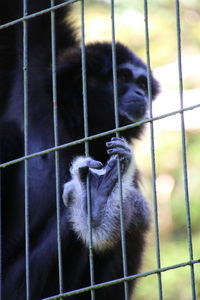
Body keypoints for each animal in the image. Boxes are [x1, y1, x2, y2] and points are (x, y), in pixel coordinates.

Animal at [0, 1, 159, 298]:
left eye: (142, 84)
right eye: (123, 77)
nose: (140, 94)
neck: (74, 125)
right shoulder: (34, 72)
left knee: (133, 212)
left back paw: (95, 206)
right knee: (8, 133)